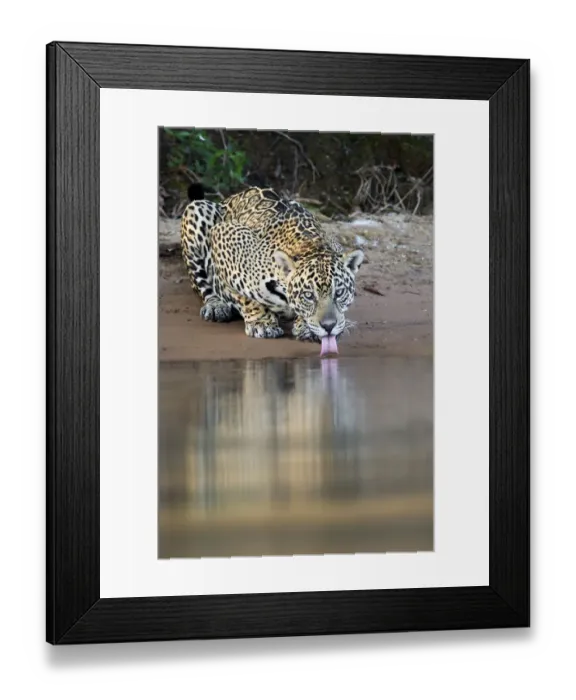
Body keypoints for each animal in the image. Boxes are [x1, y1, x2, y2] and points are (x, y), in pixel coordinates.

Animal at [180, 183, 364, 349]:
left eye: (339, 292)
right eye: (308, 295)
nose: (329, 326)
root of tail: (230, 198)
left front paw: (306, 327)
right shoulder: (225, 234)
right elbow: (244, 297)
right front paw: (262, 323)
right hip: (197, 209)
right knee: (200, 283)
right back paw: (216, 306)